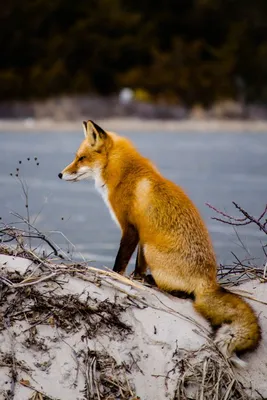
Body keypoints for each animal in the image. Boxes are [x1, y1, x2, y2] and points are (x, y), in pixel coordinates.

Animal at [59, 119, 262, 366]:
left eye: (81, 158)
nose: (59, 174)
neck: (125, 172)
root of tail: (209, 281)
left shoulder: (131, 229)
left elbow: (120, 262)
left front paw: (117, 277)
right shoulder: (142, 235)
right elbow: (137, 266)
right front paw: (136, 279)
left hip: (153, 250)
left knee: (183, 293)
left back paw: (158, 283)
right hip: (149, 246)